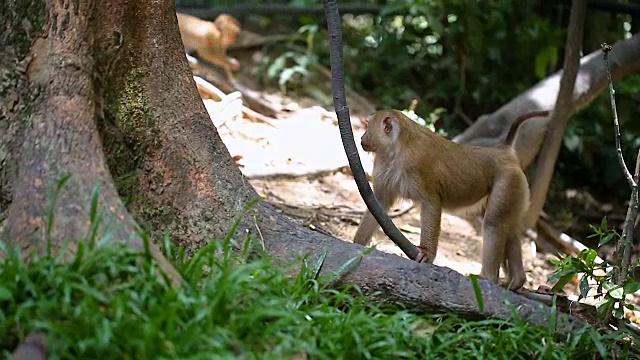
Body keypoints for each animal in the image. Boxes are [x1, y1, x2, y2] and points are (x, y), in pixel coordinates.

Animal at [356, 109, 552, 290]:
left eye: (368, 126)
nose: (362, 138)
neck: (396, 146)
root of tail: (505, 152)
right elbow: (378, 204)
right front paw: (357, 244)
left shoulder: (417, 169)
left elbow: (431, 203)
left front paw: (426, 252)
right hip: (516, 187)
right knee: (507, 226)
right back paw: (518, 281)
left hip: (508, 181)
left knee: (493, 223)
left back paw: (488, 278)